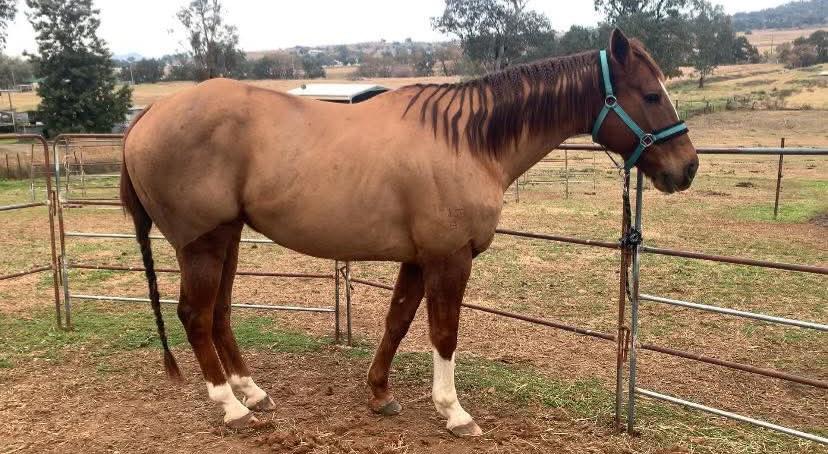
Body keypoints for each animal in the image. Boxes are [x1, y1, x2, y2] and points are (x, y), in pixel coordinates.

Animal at [120, 29, 698, 435]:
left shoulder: (419, 258)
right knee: (196, 315)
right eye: (651, 95)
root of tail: (147, 117)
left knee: (219, 313)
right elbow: (444, 334)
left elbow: (397, 323)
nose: (687, 167)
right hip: (202, 242)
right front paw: (455, 412)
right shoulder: (449, 256)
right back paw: (231, 407)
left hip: (229, 236)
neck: (468, 141)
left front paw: (379, 395)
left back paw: (253, 392)